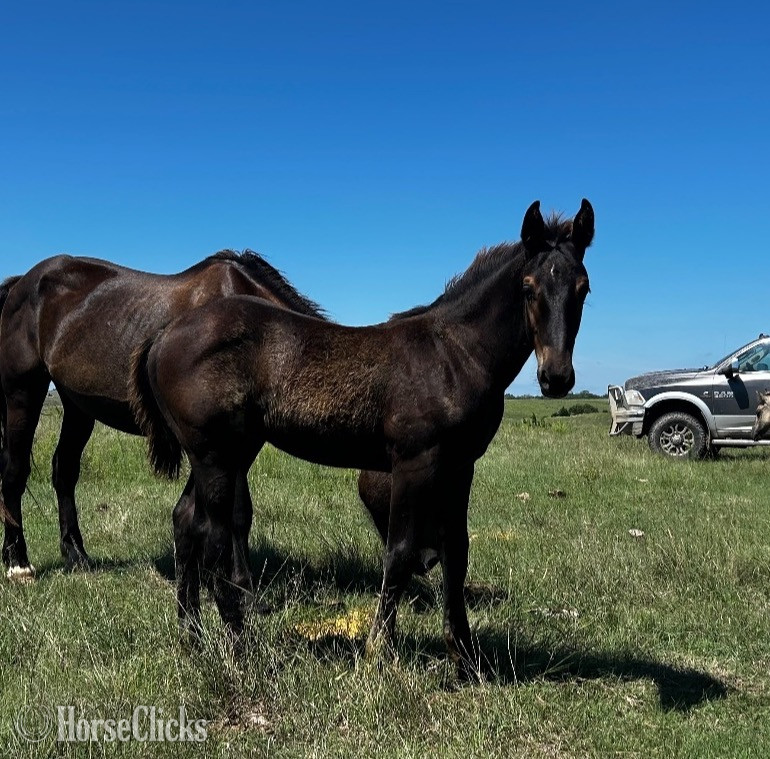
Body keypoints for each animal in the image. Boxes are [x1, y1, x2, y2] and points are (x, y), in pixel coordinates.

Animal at [0, 250, 326, 581]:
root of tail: (21, 283)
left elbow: (233, 511)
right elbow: (232, 511)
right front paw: (236, 580)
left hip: (78, 407)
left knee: (64, 471)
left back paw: (76, 555)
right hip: (22, 393)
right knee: (14, 471)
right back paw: (18, 563)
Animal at [129, 199, 594, 677]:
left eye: (583, 288)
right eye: (528, 286)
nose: (556, 377)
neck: (454, 354)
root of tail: (163, 335)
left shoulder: (460, 467)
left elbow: (457, 553)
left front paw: (465, 658)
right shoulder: (414, 462)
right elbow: (400, 552)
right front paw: (379, 651)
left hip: (221, 454)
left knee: (186, 521)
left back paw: (193, 637)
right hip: (216, 457)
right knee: (215, 541)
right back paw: (240, 648)